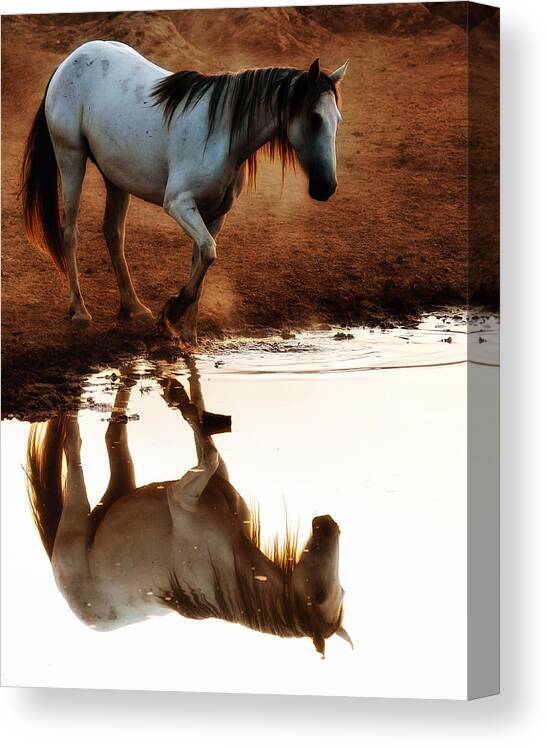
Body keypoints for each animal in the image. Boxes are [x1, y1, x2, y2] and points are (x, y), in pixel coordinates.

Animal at [21, 40, 348, 342]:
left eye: (338, 120)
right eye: (315, 118)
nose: (326, 187)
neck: (222, 134)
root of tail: (70, 60)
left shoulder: (215, 214)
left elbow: (201, 261)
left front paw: (189, 336)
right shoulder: (179, 204)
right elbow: (207, 252)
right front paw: (172, 313)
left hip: (115, 176)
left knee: (113, 231)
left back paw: (133, 307)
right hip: (71, 158)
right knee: (69, 232)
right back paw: (80, 311)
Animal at [25, 356, 354, 656]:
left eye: (341, 591)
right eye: (320, 595)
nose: (329, 523)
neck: (229, 555)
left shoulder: (206, 480)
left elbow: (205, 432)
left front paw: (181, 388)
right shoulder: (182, 495)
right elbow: (208, 447)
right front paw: (177, 392)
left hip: (119, 489)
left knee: (113, 434)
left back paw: (129, 371)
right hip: (76, 520)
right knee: (73, 447)